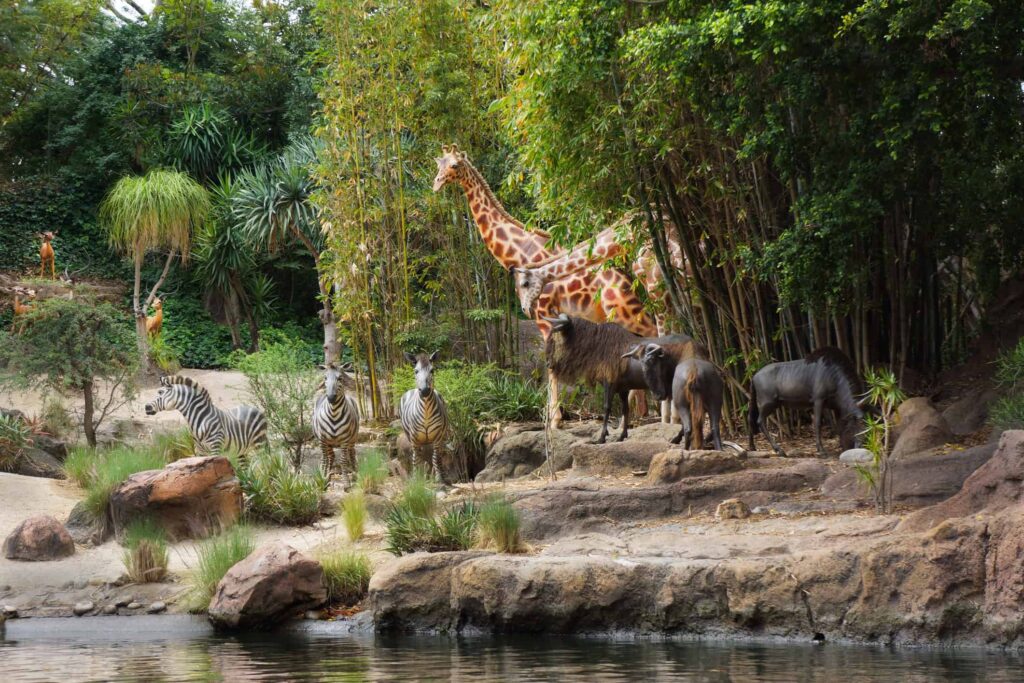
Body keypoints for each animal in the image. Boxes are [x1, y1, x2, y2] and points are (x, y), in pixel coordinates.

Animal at [399, 351, 450, 481]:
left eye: (432, 370)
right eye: (416, 371)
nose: (425, 391)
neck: (426, 410)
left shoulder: (437, 437)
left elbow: (435, 458)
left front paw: (439, 478)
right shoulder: (414, 438)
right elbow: (416, 459)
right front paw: (416, 478)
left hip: (437, 437)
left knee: (434, 456)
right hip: (412, 436)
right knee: (420, 456)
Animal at [433, 144, 657, 427]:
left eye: (454, 166)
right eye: (438, 164)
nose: (436, 184)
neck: (519, 253)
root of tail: (629, 283)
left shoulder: (542, 314)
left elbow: (551, 363)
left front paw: (554, 420)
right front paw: (553, 418)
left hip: (626, 311)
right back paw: (639, 413)